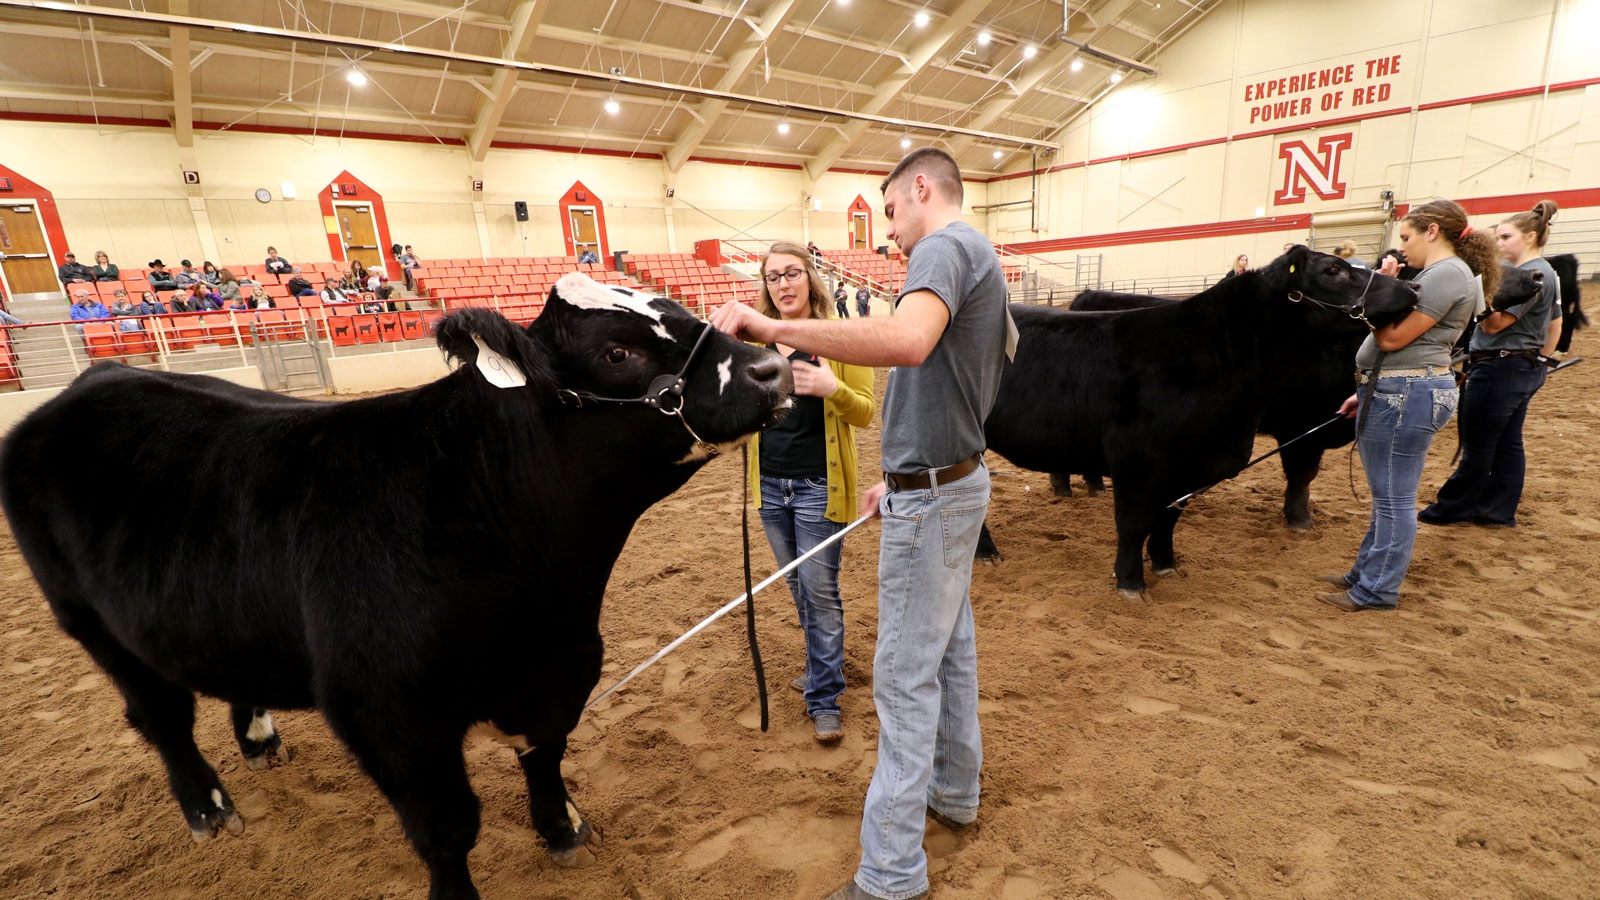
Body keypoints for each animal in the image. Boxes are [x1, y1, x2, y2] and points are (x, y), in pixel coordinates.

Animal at [0, 273, 793, 896]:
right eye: (617, 352)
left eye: (681, 311)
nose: (773, 369)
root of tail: (86, 385)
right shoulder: (387, 715)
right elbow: (447, 829)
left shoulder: (559, 673)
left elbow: (546, 758)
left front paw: (563, 830)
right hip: (89, 621)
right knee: (160, 715)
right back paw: (208, 810)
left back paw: (258, 740)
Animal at [972, 245, 1414, 595]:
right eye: (1333, 270)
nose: (1411, 290)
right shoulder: (1137, 460)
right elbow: (1134, 522)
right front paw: (1130, 582)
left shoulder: (1192, 466)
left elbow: (1168, 518)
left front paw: (1166, 564)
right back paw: (987, 553)